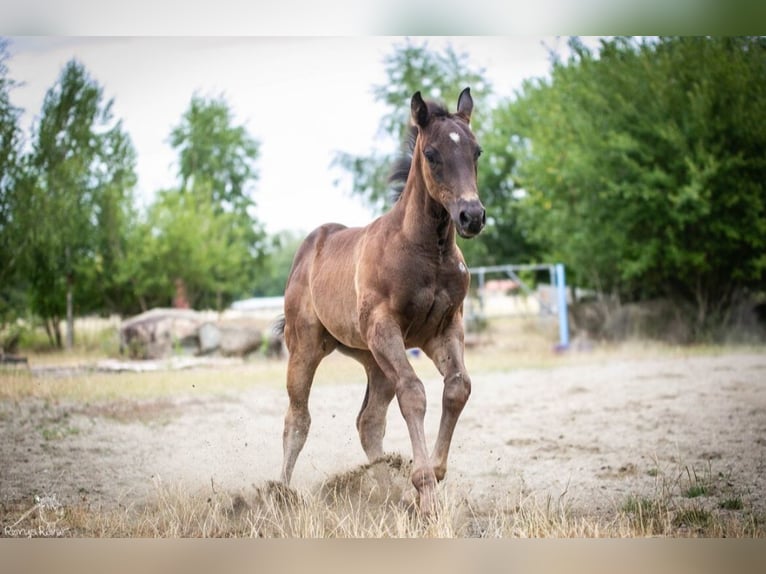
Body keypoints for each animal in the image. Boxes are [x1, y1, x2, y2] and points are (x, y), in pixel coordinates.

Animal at [278, 87, 485, 514]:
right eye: (431, 154)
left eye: (476, 151)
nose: (471, 216)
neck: (426, 250)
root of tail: (308, 250)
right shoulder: (384, 327)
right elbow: (414, 393)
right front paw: (425, 488)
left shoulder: (444, 329)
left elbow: (457, 387)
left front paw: (433, 474)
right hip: (306, 347)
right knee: (297, 419)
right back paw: (280, 494)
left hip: (373, 360)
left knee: (369, 421)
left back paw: (387, 488)